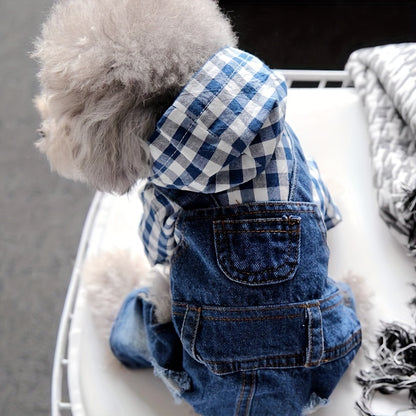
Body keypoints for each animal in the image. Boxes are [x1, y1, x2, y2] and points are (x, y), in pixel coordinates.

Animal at [34, 1, 362, 414]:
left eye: (67, 114)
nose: (42, 132)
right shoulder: (301, 163)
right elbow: (324, 195)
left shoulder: (158, 207)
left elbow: (154, 245)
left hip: (149, 325)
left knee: (128, 314)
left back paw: (102, 271)